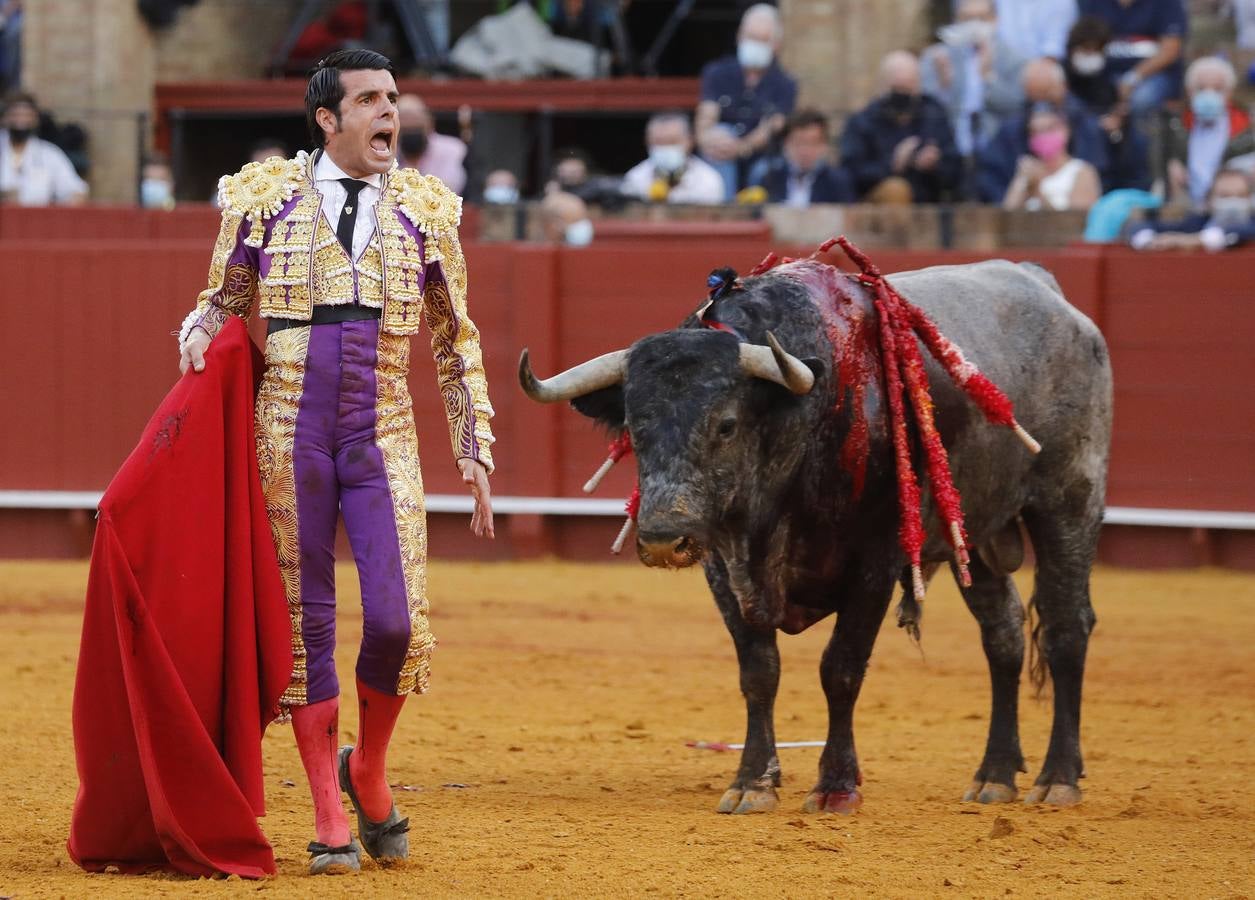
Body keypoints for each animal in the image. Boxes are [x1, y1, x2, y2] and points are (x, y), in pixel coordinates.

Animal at [514, 254, 1114, 813]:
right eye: (635, 429)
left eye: (726, 424)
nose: (663, 538)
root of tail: (1046, 288)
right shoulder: (722, 563)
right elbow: (759, 672)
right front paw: (752, 782)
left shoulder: (875, 561)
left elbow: (840, 668)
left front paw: (836, 787)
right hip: (977, 531)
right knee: (1004, 633)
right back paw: (995, 774)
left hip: (1070, 500)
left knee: (1066, 628)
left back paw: (1057, 778)